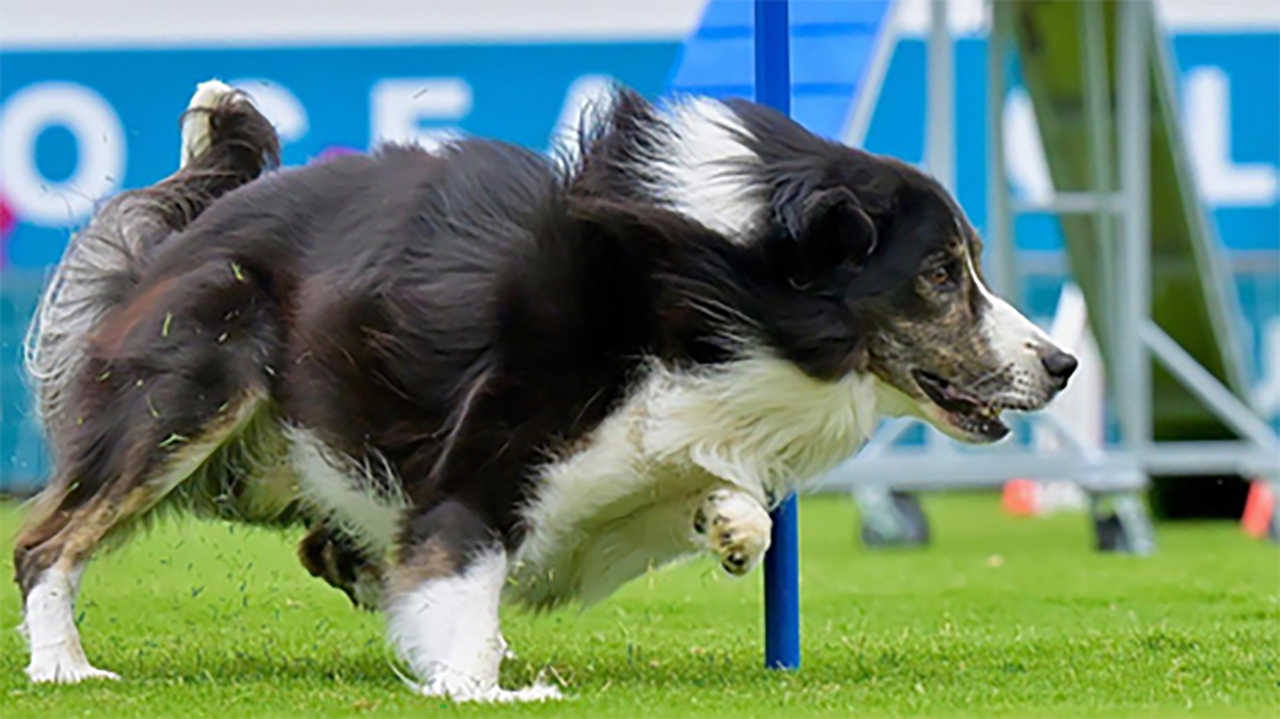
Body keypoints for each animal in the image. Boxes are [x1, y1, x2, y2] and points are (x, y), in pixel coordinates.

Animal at [15, 81, 1075, 695]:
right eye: (939, 273)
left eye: (970, 263)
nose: (1061, 365)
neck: (699, 289)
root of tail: (200, 212)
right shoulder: (480, 461)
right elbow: (460, 573)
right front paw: (474, 680)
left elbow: (732, 498)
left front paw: (730, 522)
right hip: (189, 398)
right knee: (47, 540)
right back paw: (64, 664)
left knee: (321, 543)